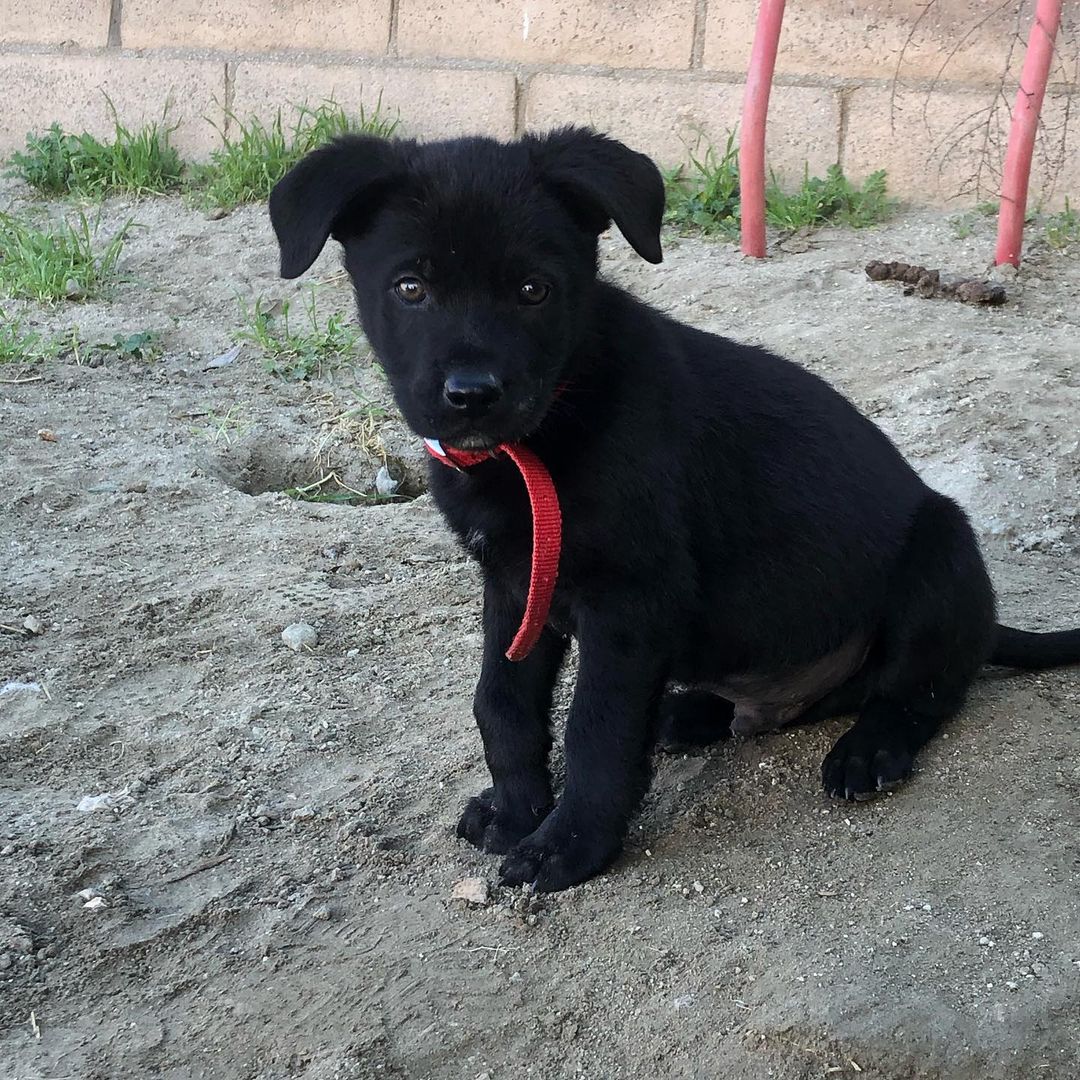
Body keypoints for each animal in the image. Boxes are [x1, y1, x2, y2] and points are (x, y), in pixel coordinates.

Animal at [270, 126, 1080, 889]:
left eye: (534, 291)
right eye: (411, 288)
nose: (472, 395)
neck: (546, 435)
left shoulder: (631, 603)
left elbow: (596, 728)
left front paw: (570, 846)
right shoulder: (515, 584)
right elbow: (501, 701)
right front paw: (516, 810)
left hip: (942, 548)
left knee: (920, 689)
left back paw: (869, 750)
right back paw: (688, 712)